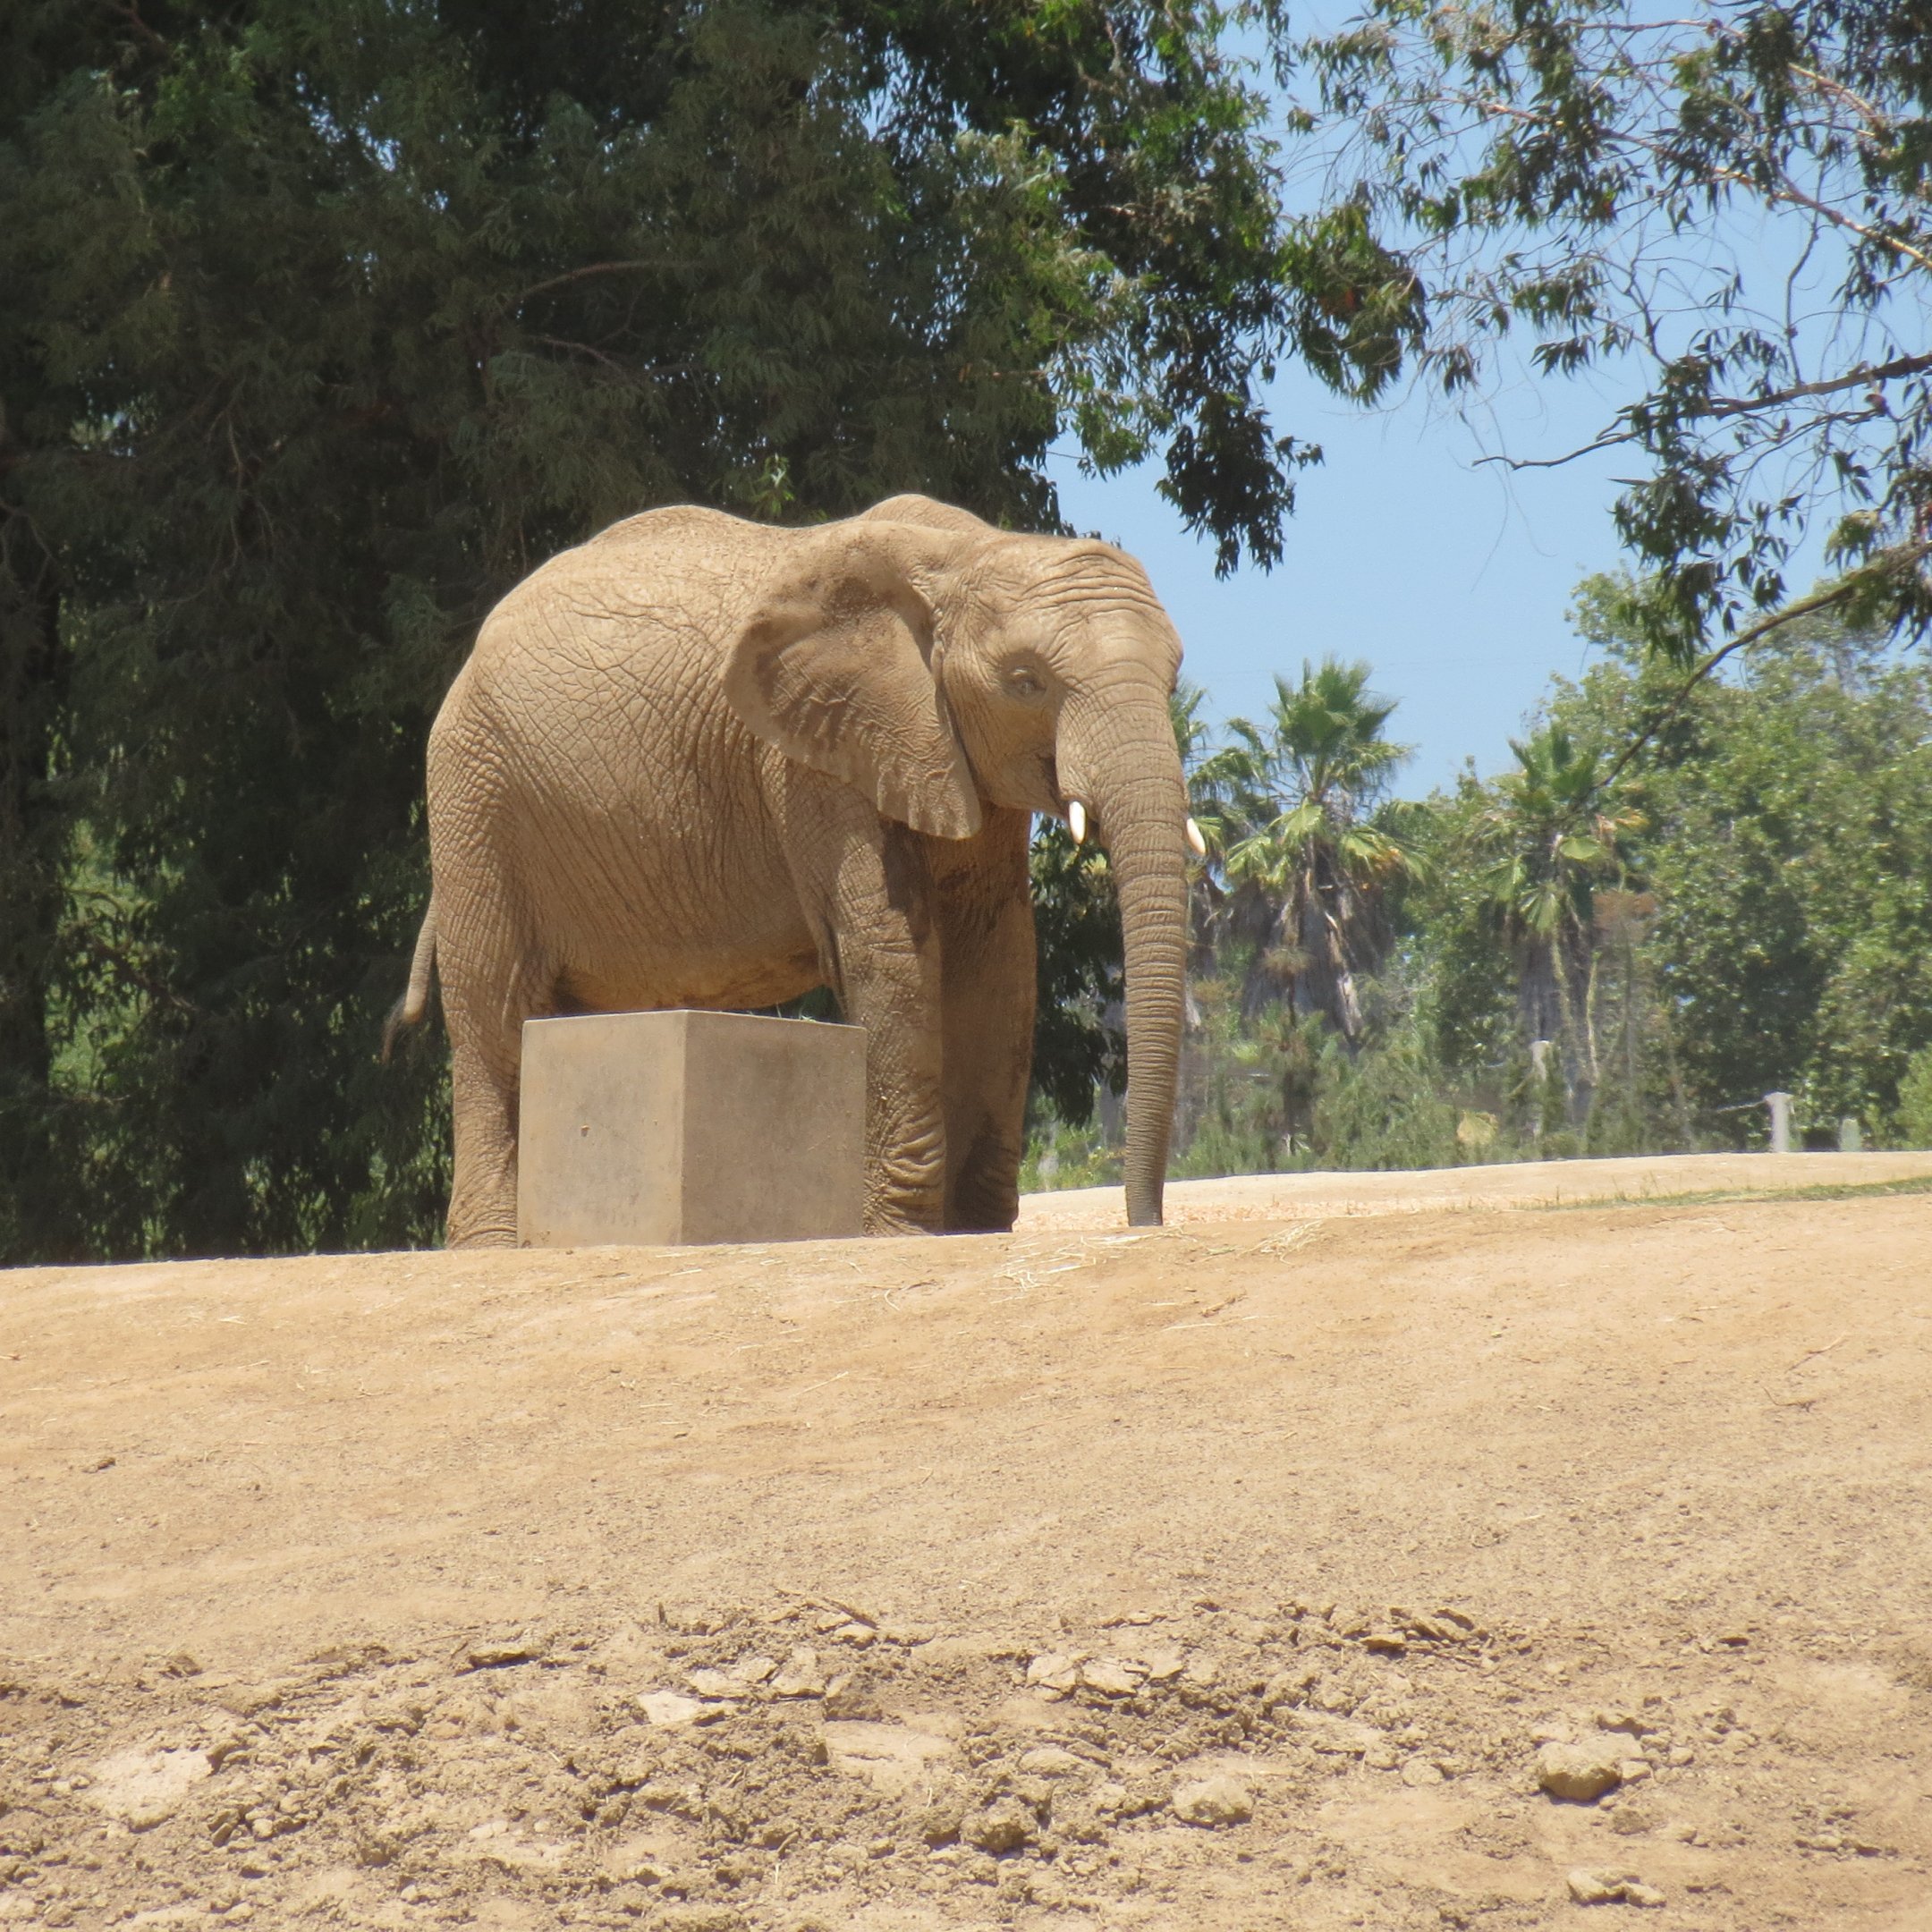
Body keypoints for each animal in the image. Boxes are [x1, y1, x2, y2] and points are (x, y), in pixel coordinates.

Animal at [388, 493, 1196, 1246]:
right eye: (1026, 681)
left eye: (1174, 678)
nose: (1145, 1224)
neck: (971, 550)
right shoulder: (815, 757)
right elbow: (888, 950)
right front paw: (899, 1234)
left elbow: (996, 959)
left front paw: (971, 1233)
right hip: (475, 795)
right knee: (497, 1008)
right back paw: (494, 1245)